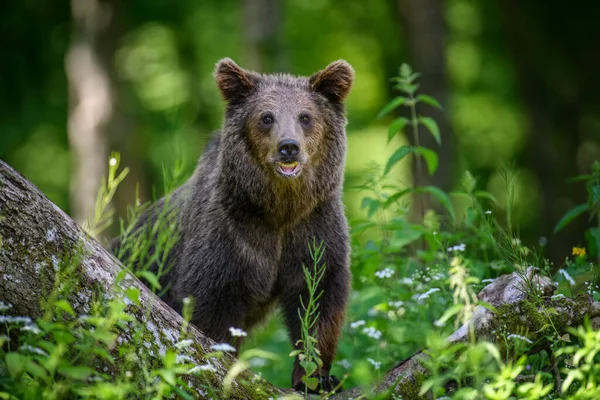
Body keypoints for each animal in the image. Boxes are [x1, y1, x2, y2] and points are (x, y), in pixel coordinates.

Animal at [112, 57, 352, 392]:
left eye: (306, 116)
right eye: (267, 117)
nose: (288, 146)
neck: (280, 210)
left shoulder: (314, 228)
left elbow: (318, 297)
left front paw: (317, 377)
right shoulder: (230, 233)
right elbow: (211, 303)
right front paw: (222, 365)